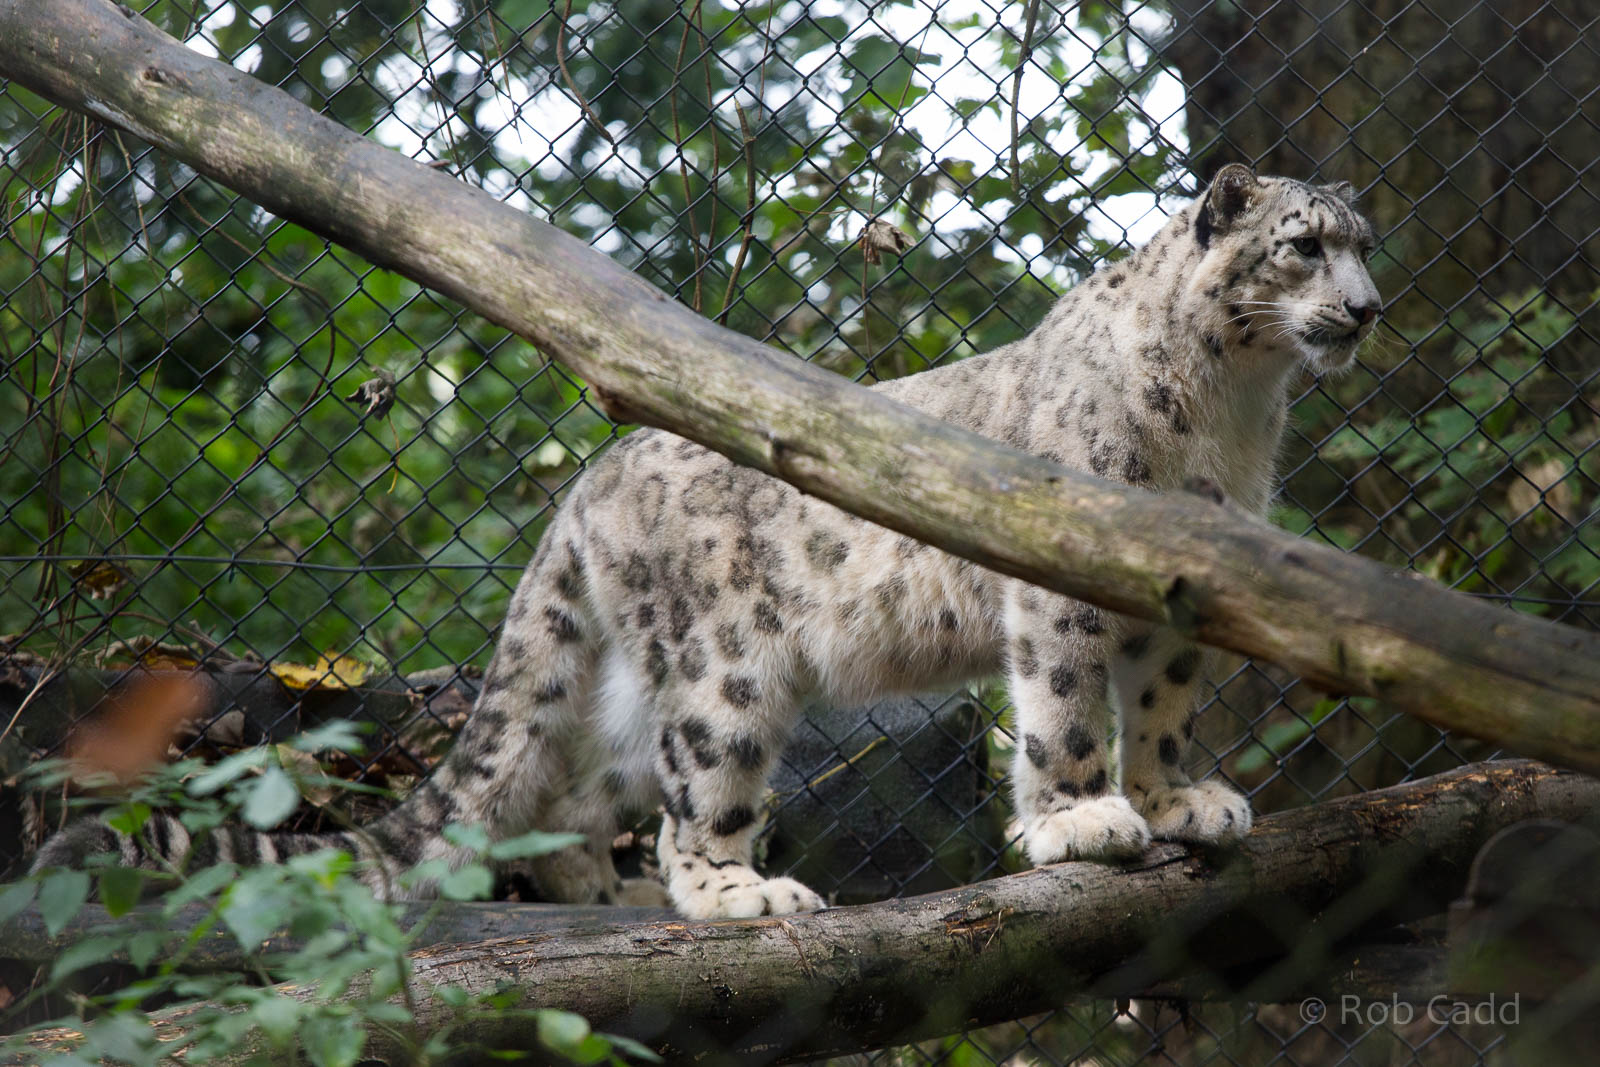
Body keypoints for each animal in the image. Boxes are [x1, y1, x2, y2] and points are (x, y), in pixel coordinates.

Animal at [35, 164, 1380, 919]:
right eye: (1305, 245)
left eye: (1364, 243)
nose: (1366, 309)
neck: (1230, 410)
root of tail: (591, 478)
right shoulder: (1064, 576)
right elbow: (1064, 706)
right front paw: (1083, 820)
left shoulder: (1182, 588)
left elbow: (1160, 704)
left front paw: (1179, 798)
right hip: (727, 667)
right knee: (699, 801)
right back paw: (737, 892)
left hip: (650, 688)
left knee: (589, 784)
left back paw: (601, 882)